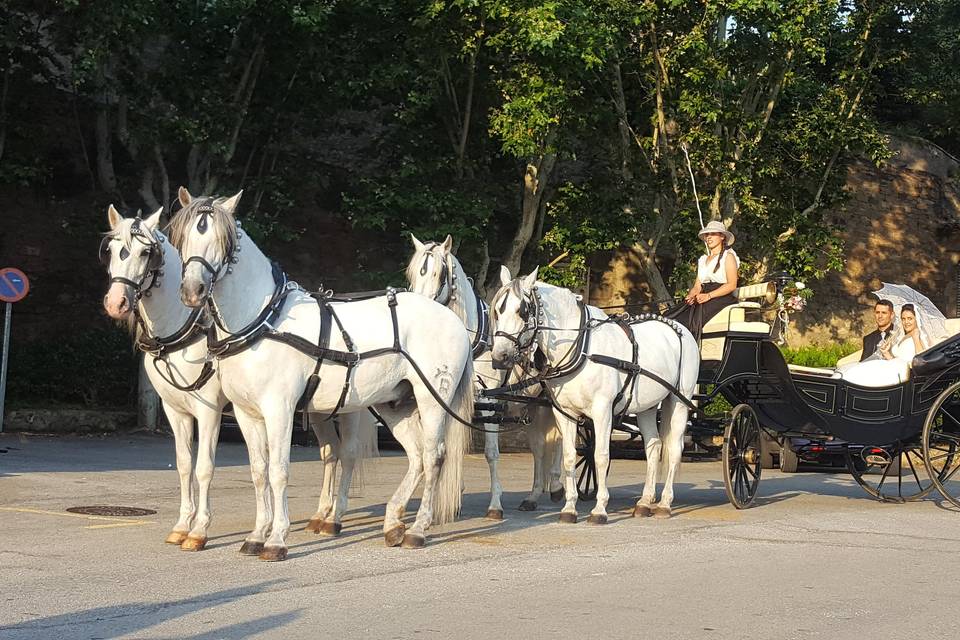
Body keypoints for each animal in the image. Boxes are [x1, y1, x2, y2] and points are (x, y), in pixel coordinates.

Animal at [100, 205, 372, 552]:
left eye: (146, 252)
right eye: (111, 250)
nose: (116, 303)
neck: (186, 329)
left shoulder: (209, 410)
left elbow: (204, 467)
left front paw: (199, 531)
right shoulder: (176, 411)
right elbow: (185, 465)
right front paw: (182, 525)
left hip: (350, 407)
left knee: (348, 453)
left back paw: (335, 518)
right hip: (319, 409)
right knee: (330, 453)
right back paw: (321, 515)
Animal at [172, 188, 476, 556]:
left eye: (222, 240)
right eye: (184, 237)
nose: (192, 291)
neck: (262, 321)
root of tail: (451, 319)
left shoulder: (280, 410)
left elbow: (278, 471)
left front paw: (276, 539)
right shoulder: (246, 414)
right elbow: (259, 471)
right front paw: (256, 535)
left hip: (432, 401)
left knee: (433, 457)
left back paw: (417, 530)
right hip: (395, 405)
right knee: (416, 457)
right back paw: (392, 523)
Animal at [404, 235, 564, 516]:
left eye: (438, 274)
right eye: (413, 273)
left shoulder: (489, 403)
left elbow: (491, 453)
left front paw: (495, 504)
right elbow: (451, 449)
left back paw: (556, 485)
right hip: (535, 407)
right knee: (540, 447)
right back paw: (534, 495)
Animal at [488, 268, 696, 524]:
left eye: (523, 310)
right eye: (498, 310)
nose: (499, 356)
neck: (582, 350)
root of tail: (680, 329)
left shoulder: (602, 411)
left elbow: (600, 456)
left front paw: (599, 509)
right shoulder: (565, 413)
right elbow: (569, 456)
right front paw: (569, 508)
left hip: (679, 401)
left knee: (675, 448)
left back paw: (665, 503)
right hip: (646, 407)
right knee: (654, 446)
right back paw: (645, 502)